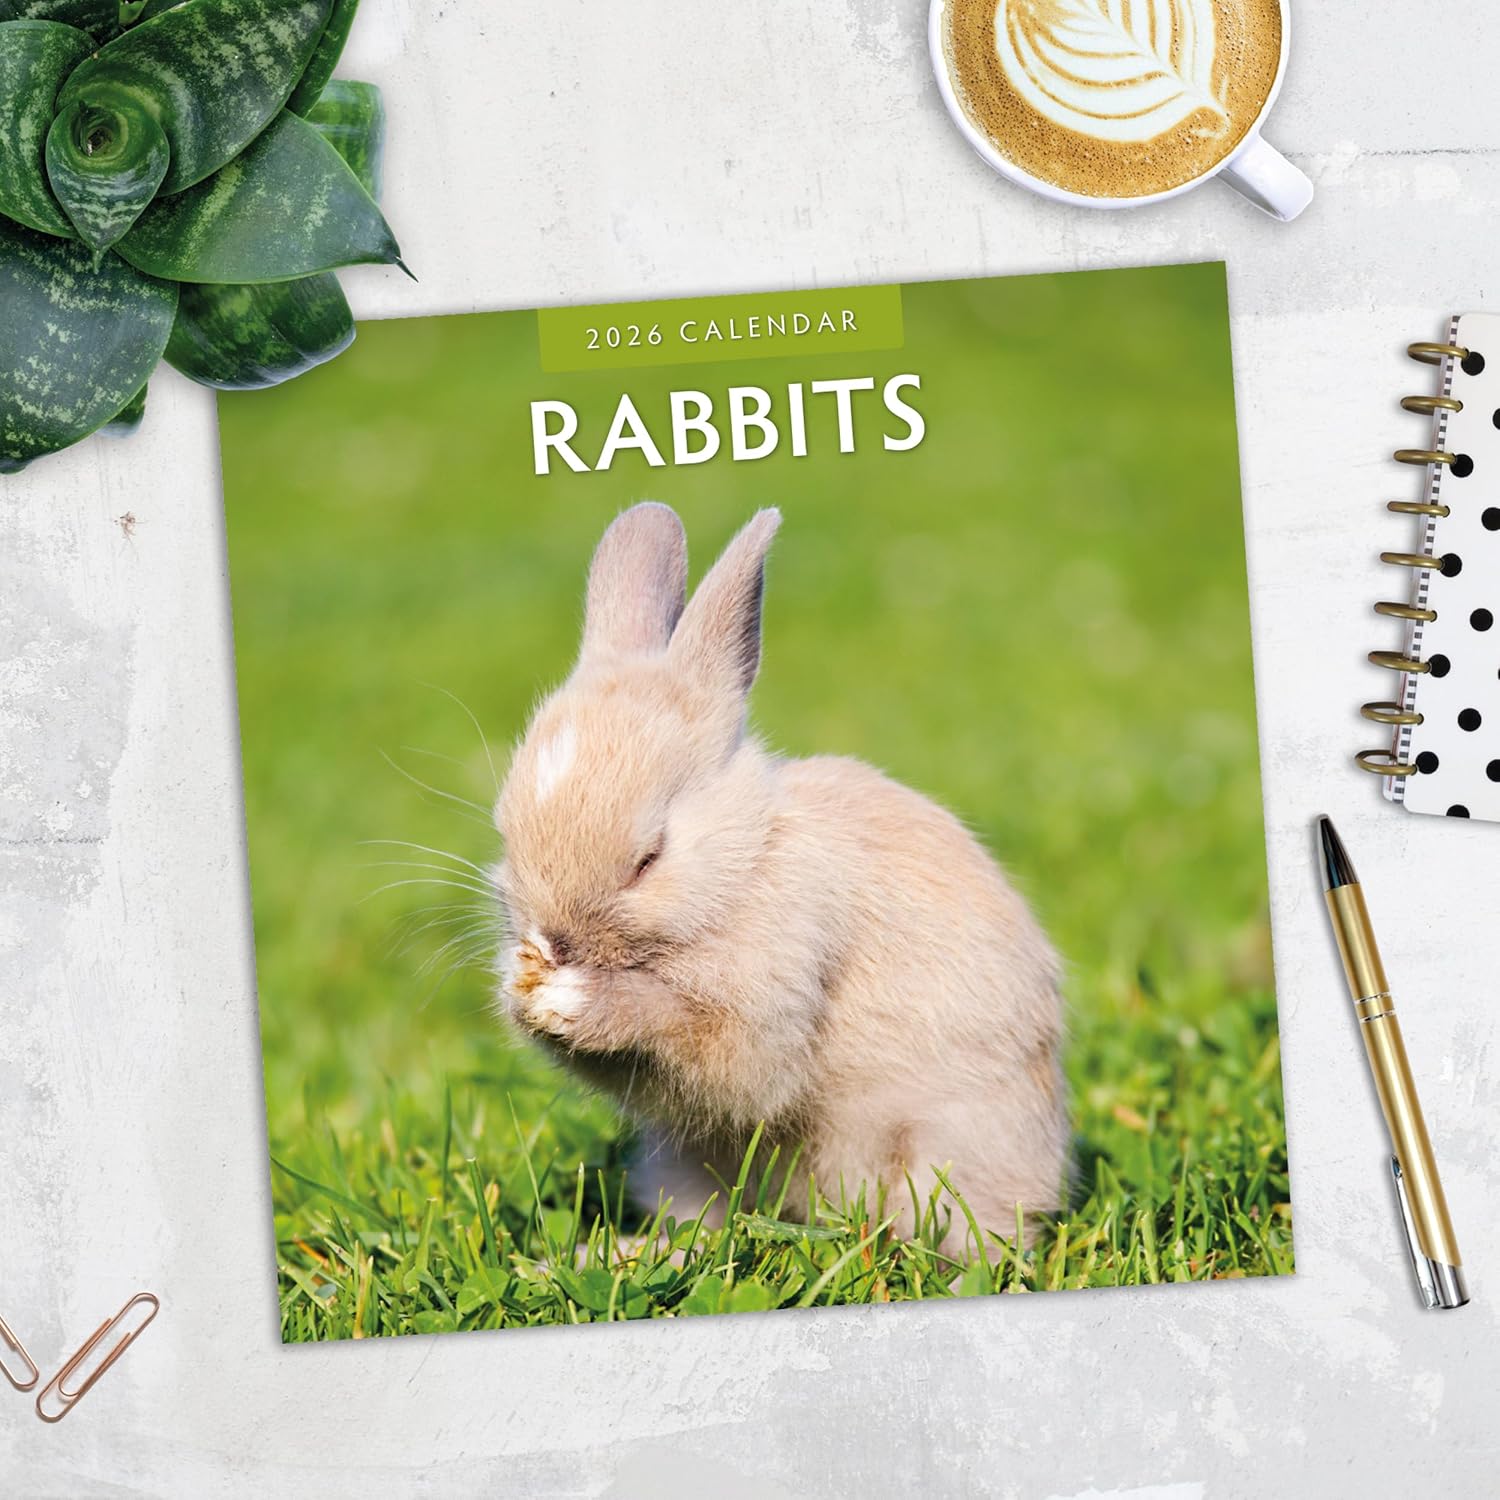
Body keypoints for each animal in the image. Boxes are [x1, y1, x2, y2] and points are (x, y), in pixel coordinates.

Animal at [492, 501, 1068, 1250]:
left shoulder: (779, 989)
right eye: (505, 833)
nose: (554, 943)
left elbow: (726, 1057)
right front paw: (522, 993)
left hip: (955, 1151)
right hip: (683, 1164)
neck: (744, 863)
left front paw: (577, 1000)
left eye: (649, 858)